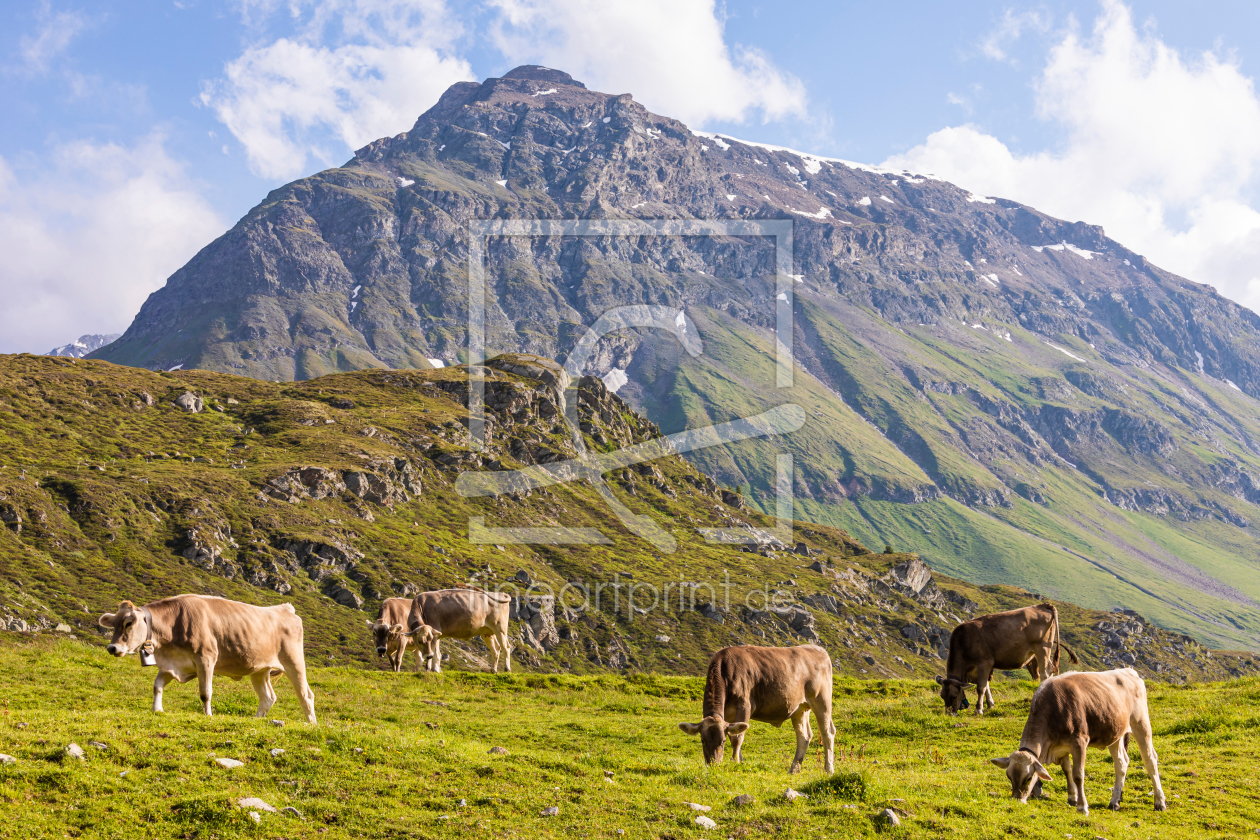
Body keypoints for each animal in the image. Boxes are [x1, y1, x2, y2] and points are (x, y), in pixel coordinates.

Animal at [96, 594, 317, 725]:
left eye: (128, 623)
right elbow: (157, 686)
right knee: (268, 697)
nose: (112, 648)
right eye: (113, 624)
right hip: (259, 669)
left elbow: (205, 693)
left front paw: (208, 715)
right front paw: (157, 709)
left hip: (294, 661)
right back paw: (255, 721)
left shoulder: (206, 658)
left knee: (306, 694)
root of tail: (284, 608)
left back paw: (312, 723)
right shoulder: (173, 664)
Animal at [680, 644, 836, 775]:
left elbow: (737, 738)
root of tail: (817, 648)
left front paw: (735, 762)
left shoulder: (745, 705)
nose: (713, 764)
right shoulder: (728, 716)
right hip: (800, 708)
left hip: (822, 700)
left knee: (827, 732)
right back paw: (794, 769)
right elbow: (735, 734)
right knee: (804, 736)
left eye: (722, 741)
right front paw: (741, 762)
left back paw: (828, 769)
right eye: (702, 740)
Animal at [932, 604, 1078, 715]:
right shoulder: (979, 668)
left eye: (954, 696)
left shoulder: (984, 662)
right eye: (942, 696)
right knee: (1050, 671)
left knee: (1045, 673)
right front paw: (990, 704)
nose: (949, 713)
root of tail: (1043, 605)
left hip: (1042, 649)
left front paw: (978, 710)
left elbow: (981, 687)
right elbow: (987, 686)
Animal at [987, 664, 1164, 811]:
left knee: (1150, 760)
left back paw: (1160, 802)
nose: (1017, 800)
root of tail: (1128, 671)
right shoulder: (1061, 746)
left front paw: (1082, 806)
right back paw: (1114, 802)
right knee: (1121, 762)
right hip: (1115, 732)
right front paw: (1072, 798)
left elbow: (1078, 775)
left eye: (1028, 778)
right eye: (1009, 777)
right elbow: (1067, 770)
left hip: (1141, 723)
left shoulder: (1079, 742)